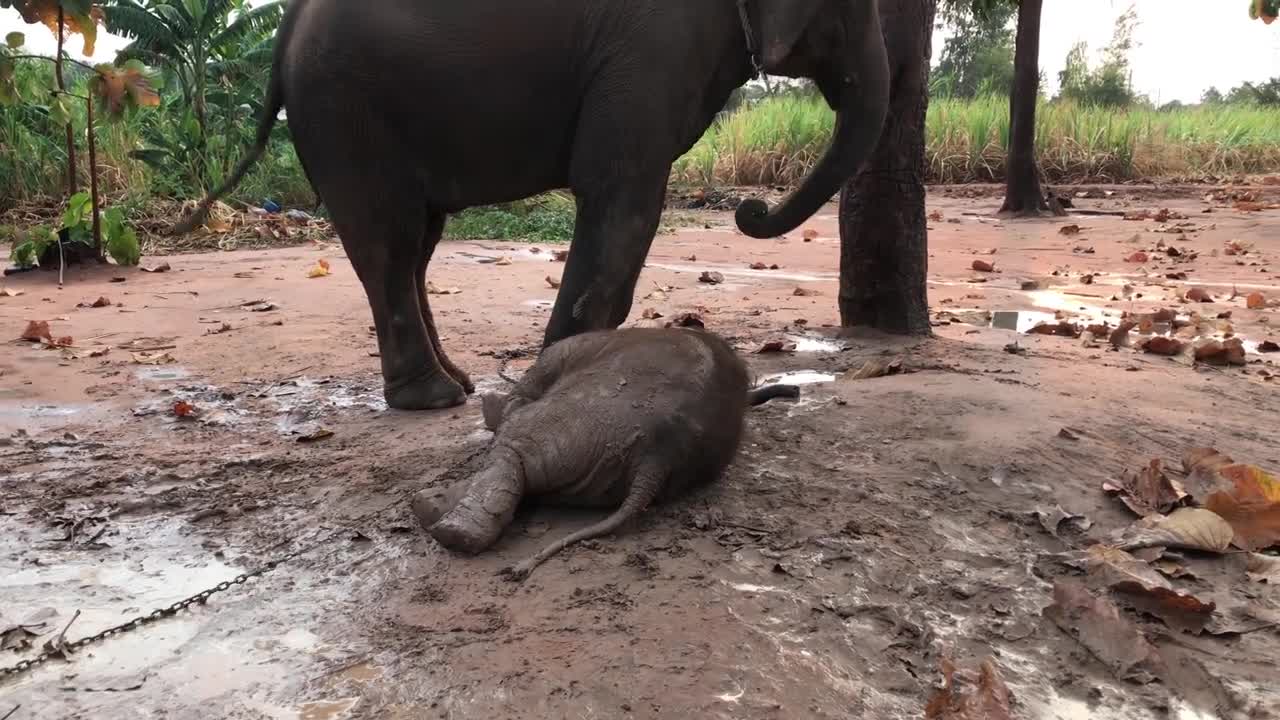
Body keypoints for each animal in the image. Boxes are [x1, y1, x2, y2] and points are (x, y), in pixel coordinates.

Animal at [176, 0, 890, 411]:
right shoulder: (650, 49)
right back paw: (433, 399)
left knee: (418, 243)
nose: (748, 210)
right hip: (346, 105)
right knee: (392, 243)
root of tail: (283, 34)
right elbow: (621, 194)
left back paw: (459, 385)